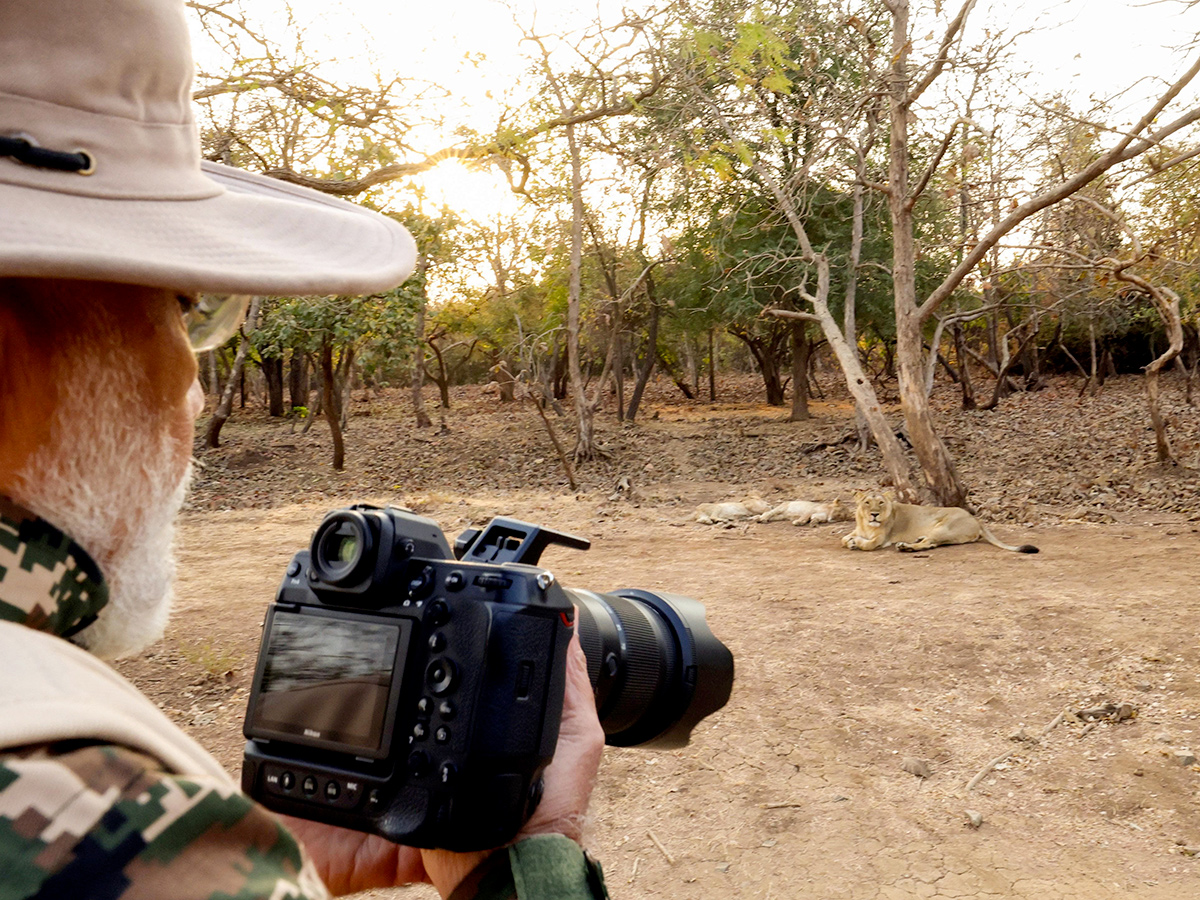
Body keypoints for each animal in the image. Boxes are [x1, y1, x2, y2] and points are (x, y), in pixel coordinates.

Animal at [840, 489, 1036, 554]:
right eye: (867, 502)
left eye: (881, 502)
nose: (874, 514)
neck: (866, 525)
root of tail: (976, 519)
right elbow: (842, 539)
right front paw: (850, 541)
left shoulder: (882, 538)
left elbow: (868, 544)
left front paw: (856, 543)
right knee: (930, 543)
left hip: (943, 528)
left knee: (929, 543)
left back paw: (906, 547)